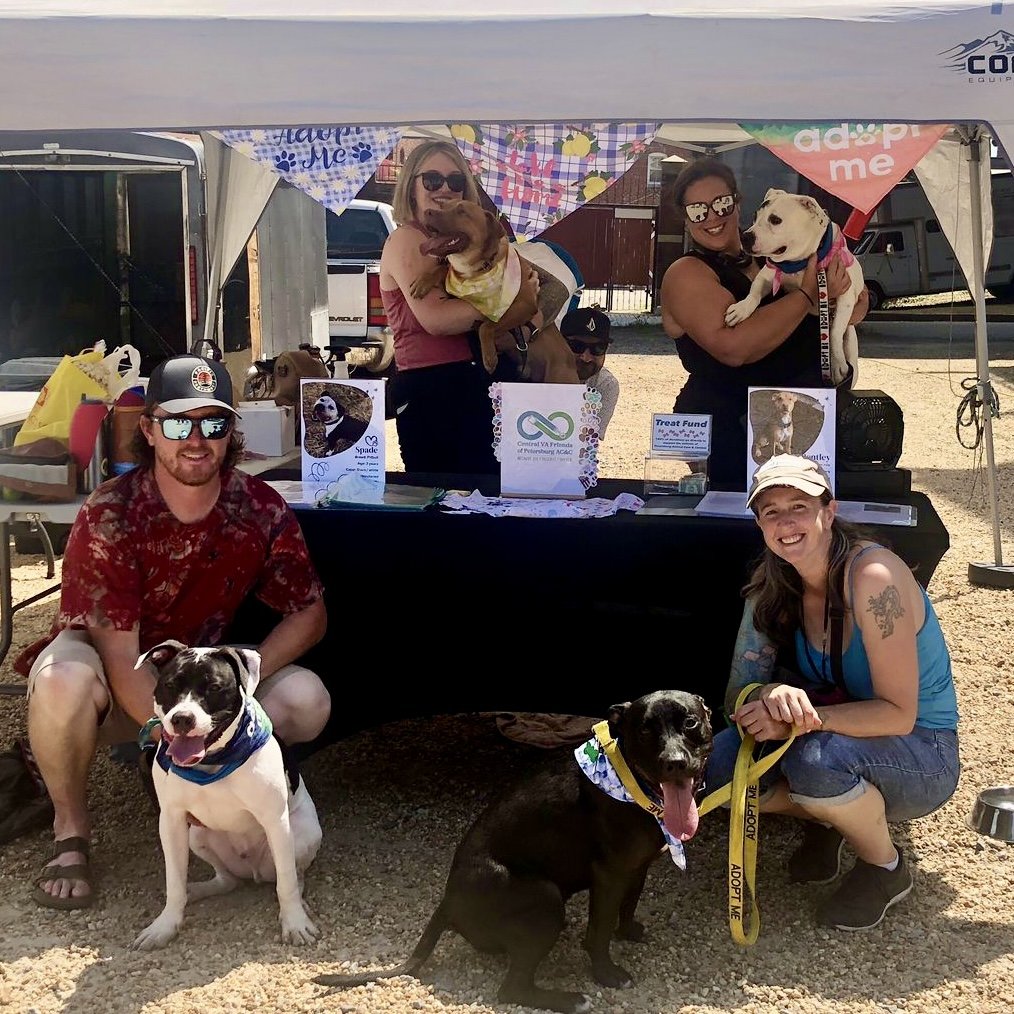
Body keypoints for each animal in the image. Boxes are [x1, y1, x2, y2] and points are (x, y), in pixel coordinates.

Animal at [131, 640, 321, 951]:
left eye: (214, 687)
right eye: (169, 685)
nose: (182, 718)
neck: (211, 762)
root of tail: (253, 871)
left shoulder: (275, 821)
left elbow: (287, 882)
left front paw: (294, 922)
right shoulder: (171, 821)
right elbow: (174, 882)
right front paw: (165, 925)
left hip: (303, 833)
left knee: (295, 875)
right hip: (197, 835)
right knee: (226, 880)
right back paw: (198, 889)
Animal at [314, 690, 713, 1014]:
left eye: (690, 722)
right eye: (645, 730)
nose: (675, 762)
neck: (631, 782)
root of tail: (447, 903)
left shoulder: (637, 866)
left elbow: (630, 903)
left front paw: (628, 930)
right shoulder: (609, 875)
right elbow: (598, 932)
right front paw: (607, 974)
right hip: (545, 899)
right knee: (511, 989)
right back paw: (569, 999)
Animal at [410, 200, 581, 384]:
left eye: (461, 211)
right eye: (441, 205)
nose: (427, 212)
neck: (480, 267)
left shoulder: (524, 306)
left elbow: (486, 326)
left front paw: (490, 357)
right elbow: (443, 269)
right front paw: (424, 281)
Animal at [725, 188, 862, 387]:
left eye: (775, 220)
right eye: (755, 217)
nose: (745, 236)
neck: (799, 262)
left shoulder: (846, 296)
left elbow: (835, 332)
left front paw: (836, 363)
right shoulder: (767, 275)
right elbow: (753, 295)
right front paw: (741, 309)